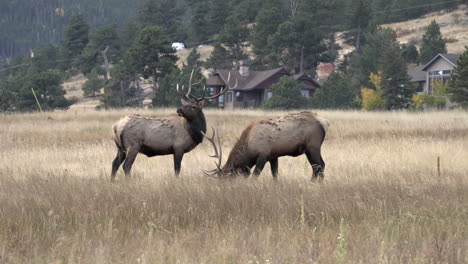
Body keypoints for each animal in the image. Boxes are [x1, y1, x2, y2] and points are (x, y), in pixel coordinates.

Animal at [110, 69, 238, 180]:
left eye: (193, 106)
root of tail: (116, 126)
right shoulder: (178, 147)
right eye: (185, 103)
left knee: (114, 164)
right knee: (126, 166)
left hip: (120, 147)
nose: (179, 109)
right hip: (133, 145)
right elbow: (177, 169)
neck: (192, 133)